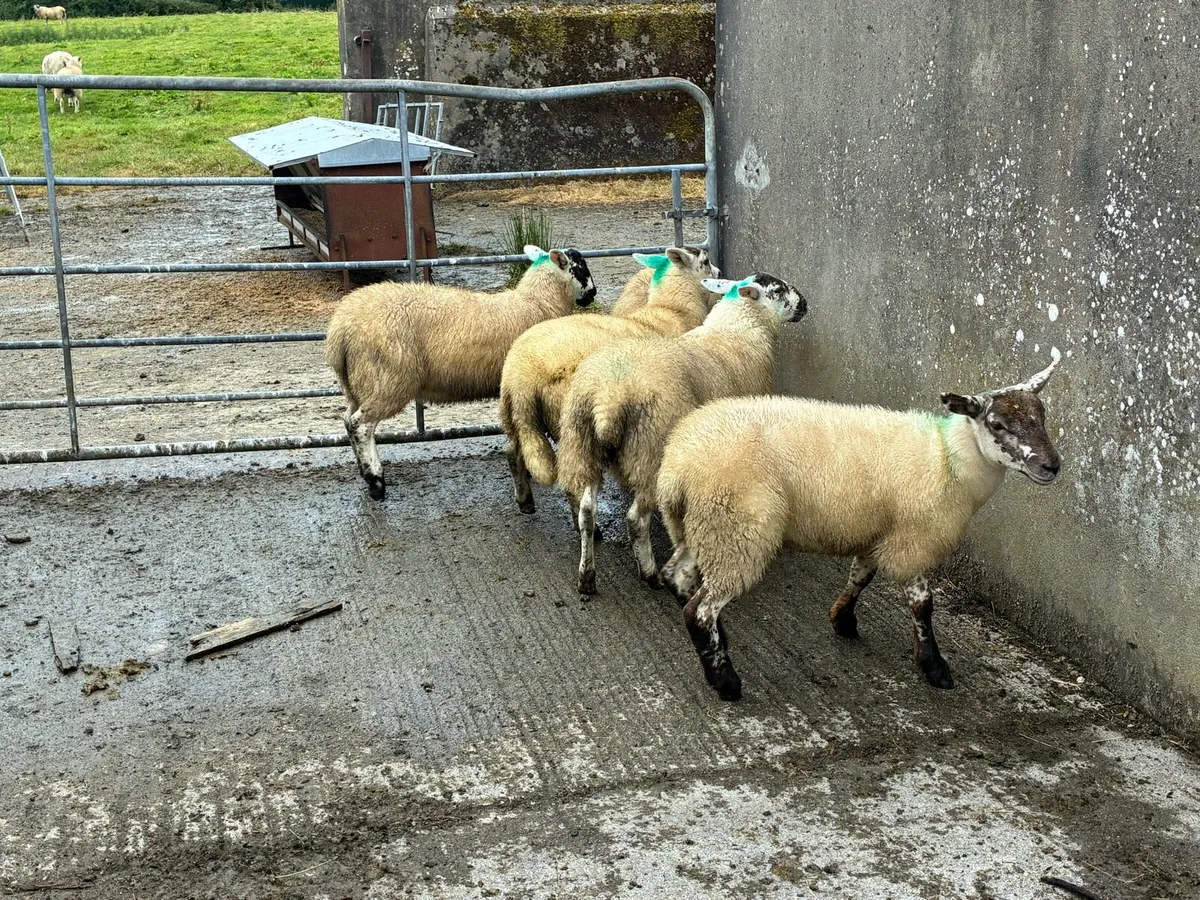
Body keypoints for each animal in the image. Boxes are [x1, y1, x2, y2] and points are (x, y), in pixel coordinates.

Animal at [324, 245, 596, 500]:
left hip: (359, 383)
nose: (593, 294)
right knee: (361, 426)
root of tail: (340, 330)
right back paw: (376, 481)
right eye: (581, 266)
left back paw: (364, 472)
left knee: (347, 421)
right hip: (386, 380)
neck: (537, 303)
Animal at [498, 247, 721, 520]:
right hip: (569, 422)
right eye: (705, 261)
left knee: (512, 452)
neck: (673, 310)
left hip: (511, 414)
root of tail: (521, 375)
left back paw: (525, 500)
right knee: (573, 483)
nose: (719, 273)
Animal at [557, 273, 807, 595]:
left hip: (582, 444)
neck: (737, 331)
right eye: (777, 290)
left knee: (587, 512)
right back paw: (649, 573)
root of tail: (607, 400)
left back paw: (586, 576)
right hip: (650, 450)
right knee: (635, 520)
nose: (805, 303)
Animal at [655, 360, 1063, 700]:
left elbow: (860, 576)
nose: (1052, 466)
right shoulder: (913, 538)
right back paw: (724, 681)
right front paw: (934, 667)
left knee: (678, 576)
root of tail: (678, 463)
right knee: (699, 610)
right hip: (736, 532)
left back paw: (719, 641)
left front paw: (843, 620)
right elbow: (922, 604)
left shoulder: (879, 531)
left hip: (699, 527)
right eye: (997, 424)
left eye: (1042, 416)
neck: (948, 457)